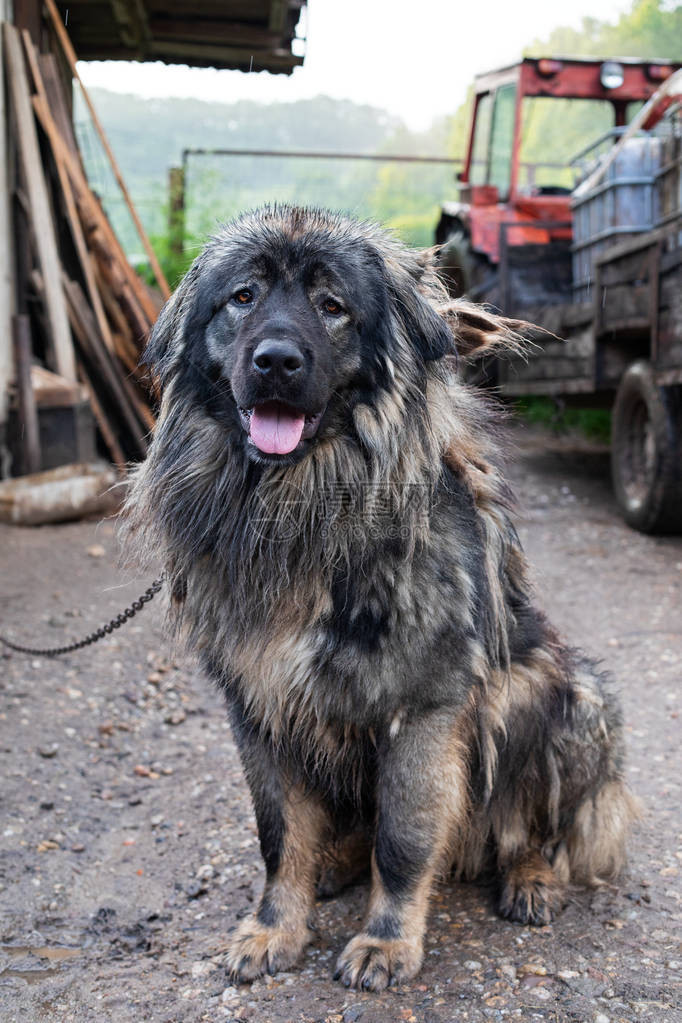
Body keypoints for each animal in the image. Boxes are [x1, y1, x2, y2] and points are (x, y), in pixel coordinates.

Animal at [125, 205, 638, 990]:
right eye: (242, 297)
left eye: (333, 306)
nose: (276, 360)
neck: (303, 511)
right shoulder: (258, 706)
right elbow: (279, 836)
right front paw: (274, 927)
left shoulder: (422, 708)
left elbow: (401, 841)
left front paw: (387, 942)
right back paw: (336, 864)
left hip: (573, 697)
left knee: (537, 825)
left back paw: (529, 878)